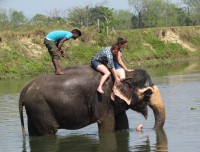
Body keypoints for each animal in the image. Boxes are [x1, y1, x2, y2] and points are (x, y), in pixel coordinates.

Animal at [18, 64, 166, 136]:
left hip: (34, 110)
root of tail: (25, 89)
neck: (125, 74)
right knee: (48, 132)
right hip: (40, 108)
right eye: (148, 92)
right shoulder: (102, 99)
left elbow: (122, 122)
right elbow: (107, 124)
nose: (141, 126)